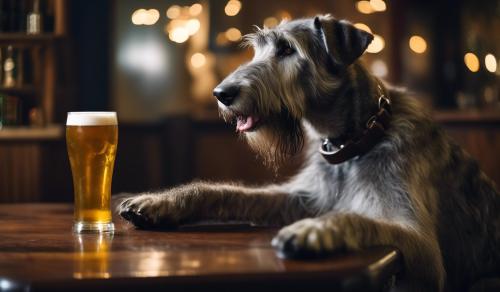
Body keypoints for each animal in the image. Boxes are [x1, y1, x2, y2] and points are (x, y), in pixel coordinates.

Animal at [118, 14, 500, 290]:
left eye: (287, 49)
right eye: (257, 50)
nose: (221, 93)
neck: (353, 141)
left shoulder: (420, 244)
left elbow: (356, 217)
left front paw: (311, 231)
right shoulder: (301, 196)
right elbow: (226, 192)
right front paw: (161, 201)